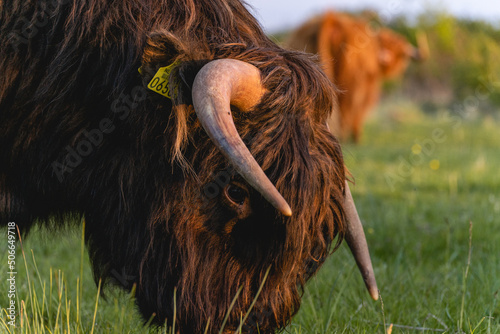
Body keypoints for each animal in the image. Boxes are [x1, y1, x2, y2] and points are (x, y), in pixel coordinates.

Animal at [288, 11, 428, 142]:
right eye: (401, 55)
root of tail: (331, 19)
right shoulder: (367, 85)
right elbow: (360, 107)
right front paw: (357, 135)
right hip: (348, 81)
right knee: (345, 105)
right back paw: (344, 136)